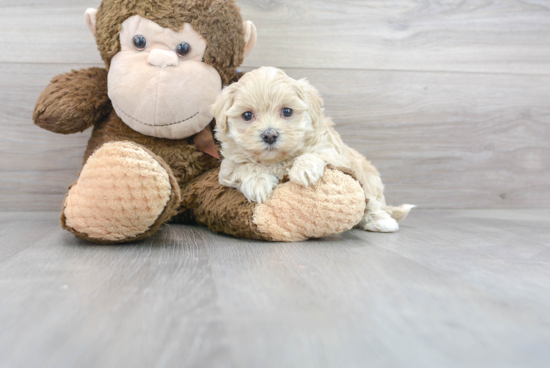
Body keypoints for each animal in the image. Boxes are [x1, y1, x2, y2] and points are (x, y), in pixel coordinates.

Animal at [211, 67, 414, 231]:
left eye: (287, 111)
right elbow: (244, 167)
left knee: (373, 203)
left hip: (369, 181)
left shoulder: (332, 152)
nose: (269, 135)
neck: (277, 160)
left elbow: (314, 154)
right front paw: (257, 182)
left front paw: (304, 169)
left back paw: (380, 222)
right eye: (247, 115)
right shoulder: (228, 168)